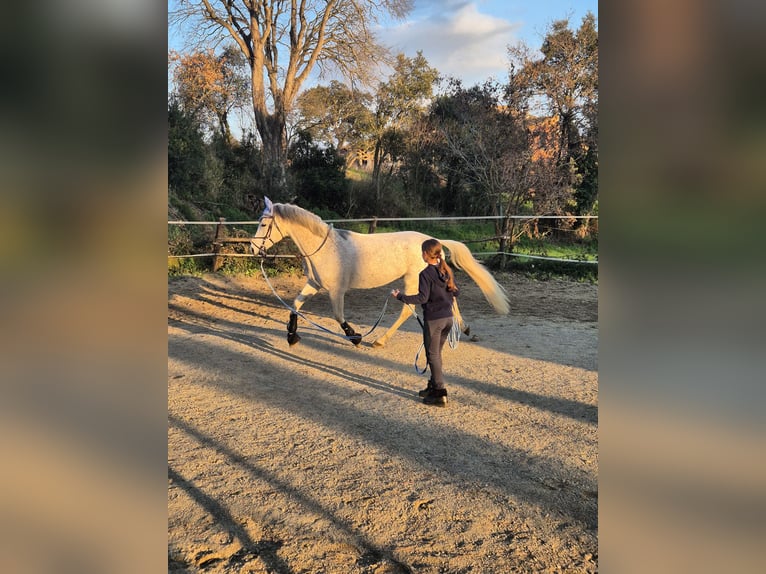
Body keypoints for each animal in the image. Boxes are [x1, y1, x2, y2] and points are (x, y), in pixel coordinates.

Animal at [251, 197, 510, 347]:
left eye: (263, 224)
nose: (253, 249)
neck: (326, 248)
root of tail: (432, 241)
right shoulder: (314, 284)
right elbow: (295, 304)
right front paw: (292, 336)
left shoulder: (336, 290)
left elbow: (338, 316)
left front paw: (355, 337)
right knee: (450, 301)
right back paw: (465, 329)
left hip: (413, 282)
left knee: (408, 311)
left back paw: (380, 341)